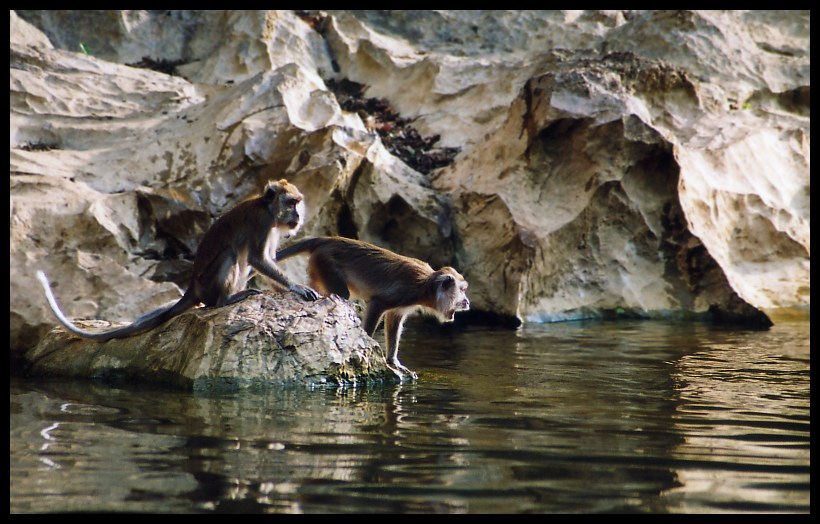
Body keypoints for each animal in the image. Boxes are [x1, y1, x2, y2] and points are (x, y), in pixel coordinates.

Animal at [38, 178, 320, 342]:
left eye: (298, 202)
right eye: (291, 203)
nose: (298, 215)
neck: (267, 208)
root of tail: (193, 288)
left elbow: (264, 260)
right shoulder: (262, 223)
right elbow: (257, 259)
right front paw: (297, 287)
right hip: (208, 283)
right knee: (229, 255)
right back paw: (225, 300)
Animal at [274, 236, 468, 376]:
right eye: (462, 290)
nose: (467, 301)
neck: (427, 285)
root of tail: (327, 239)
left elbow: (394, 319)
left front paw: (393, 361)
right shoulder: (405, 292)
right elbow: (377, 305)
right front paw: (366, 346)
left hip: (318, 266)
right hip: (326, 263)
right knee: (342, 295)